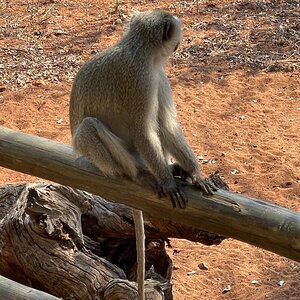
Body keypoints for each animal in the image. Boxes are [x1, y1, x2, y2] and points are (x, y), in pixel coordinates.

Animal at [69, 8, 217, 298]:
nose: (179, 43)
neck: (140, 49)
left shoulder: (158, 77)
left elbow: (165, 126)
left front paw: (195, 174)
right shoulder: (140, 81)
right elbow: (142, 129)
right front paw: (169, 183)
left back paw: (172, 169)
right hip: (110, 155)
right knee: (89, 127)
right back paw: (140, 175)